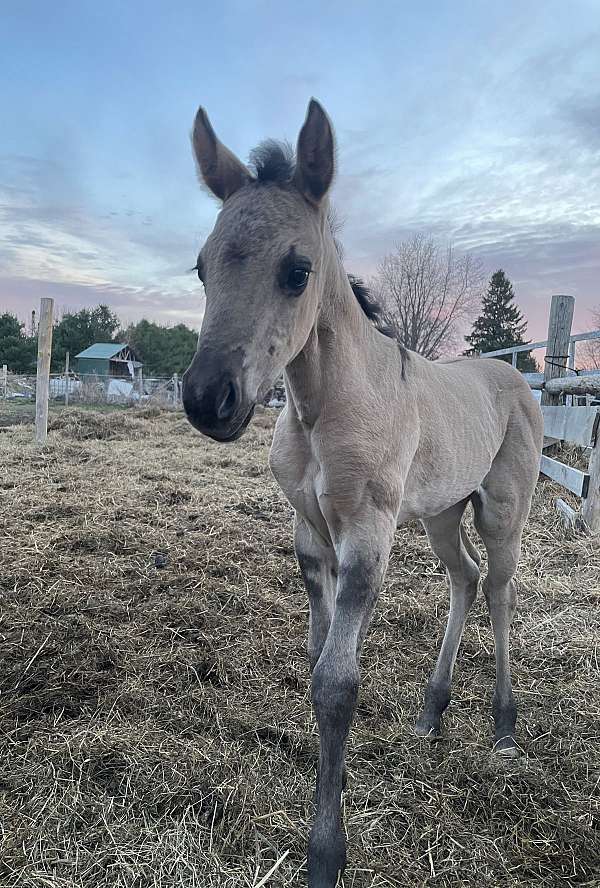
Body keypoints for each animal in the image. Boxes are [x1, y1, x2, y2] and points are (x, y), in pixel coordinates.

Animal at [181, 99, 543, 888]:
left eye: (297, 270)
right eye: (201, 266)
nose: (207, 399)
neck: (324, 406)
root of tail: (515, 376)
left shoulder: (367, 535)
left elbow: (336, 683)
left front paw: (327, 852)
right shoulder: (311, 537)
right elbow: (317, 659)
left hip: (502, 508)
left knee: (501, 588)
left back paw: (503, 727)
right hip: (440, 512)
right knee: (465, 579)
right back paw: (432, 713)